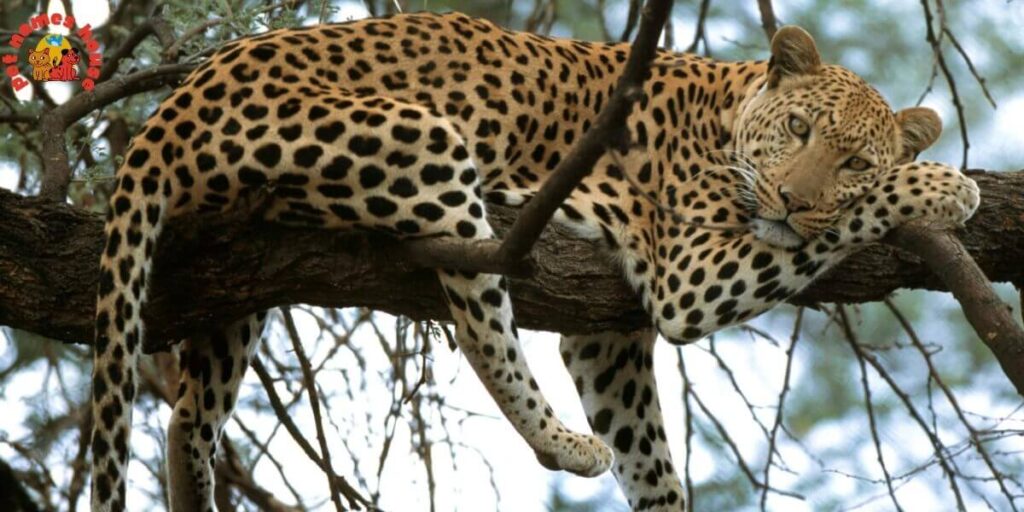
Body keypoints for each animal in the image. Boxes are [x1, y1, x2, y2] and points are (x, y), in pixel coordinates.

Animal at [88, 11, 979, 511]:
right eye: (798, 131)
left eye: (852, 159)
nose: (793, 201)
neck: (727, 110)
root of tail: (172, 106)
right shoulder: (690, 275)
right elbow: (854, 221)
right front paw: (945, 186)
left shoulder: (610, 338)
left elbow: (651, 460)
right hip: (427, 142)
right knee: (481, 328)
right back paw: (561, 443)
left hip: (235, 281)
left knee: (188, 412)